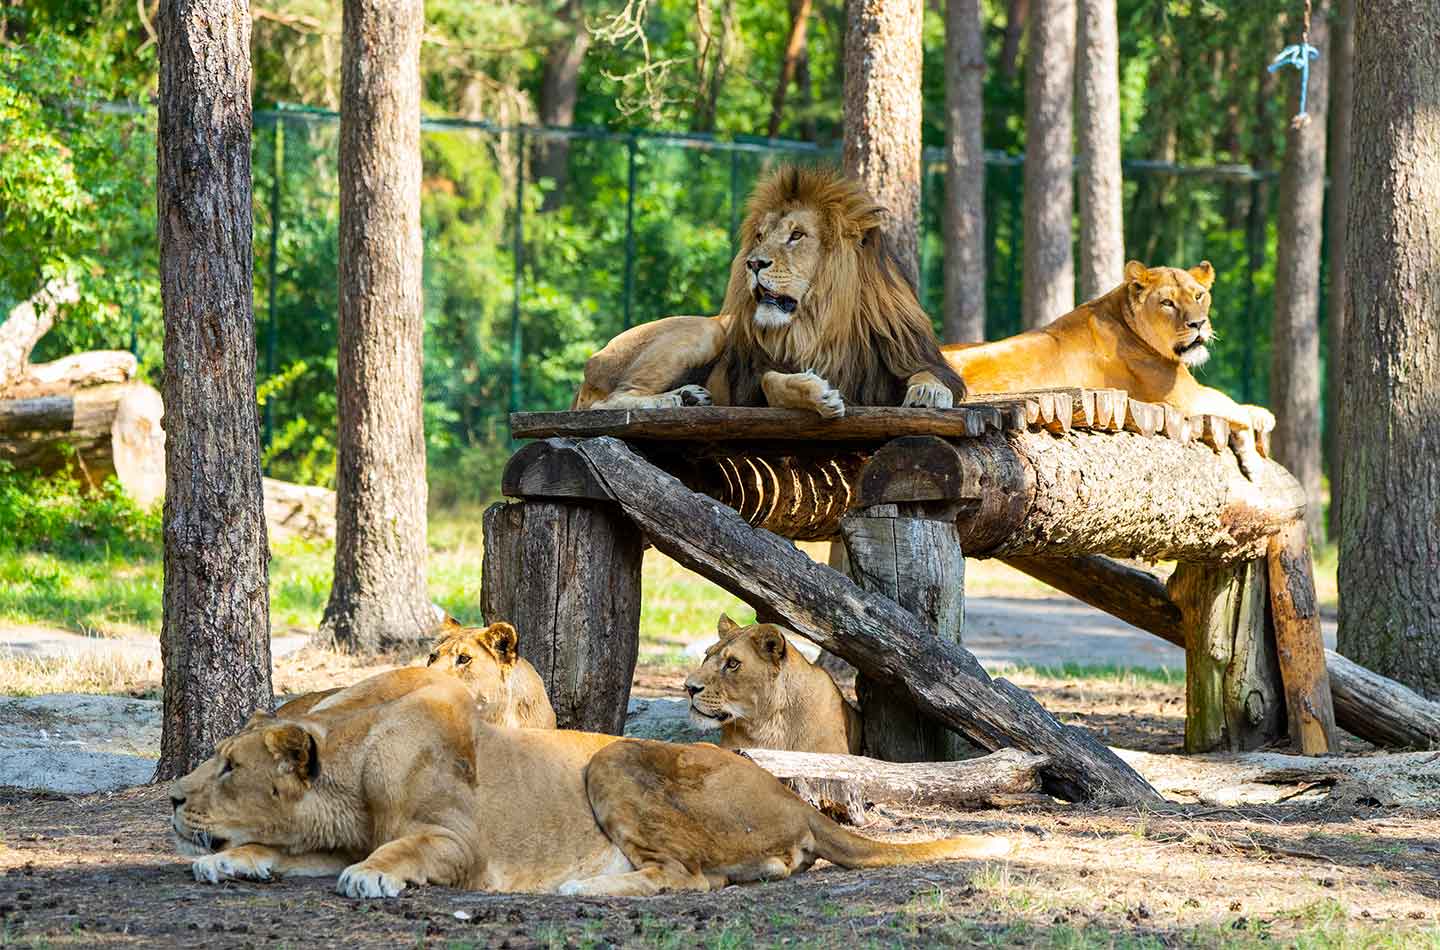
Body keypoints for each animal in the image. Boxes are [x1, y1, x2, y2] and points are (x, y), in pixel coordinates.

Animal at [171, 668, 1008, 898]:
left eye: (229, 765)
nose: (173, 797)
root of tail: (790, 798)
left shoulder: (460, 843)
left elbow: (394, 853)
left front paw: (371, 877)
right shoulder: (330, 833)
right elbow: (286, 853)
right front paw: (231, 859)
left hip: (613, 760)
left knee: (689, 879)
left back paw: (586, 887)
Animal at [573, 165, 967, 417]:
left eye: (796, 235)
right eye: (761, 235)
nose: (753, 263)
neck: (821, 323)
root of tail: (592, 360)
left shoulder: (911, 354)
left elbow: (929, 374)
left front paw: (928, 392)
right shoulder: (753, 380)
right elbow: (775, 383)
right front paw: (817, 394)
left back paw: (689, 396)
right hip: (708, 329)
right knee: (607, 403)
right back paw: (673, 401)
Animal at [942, 260, 1275, 436]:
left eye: (1199, 295)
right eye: (1167, 302)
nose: (1198, 324)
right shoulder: (1185, 398)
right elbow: (1229, 404)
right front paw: (1262, 415)